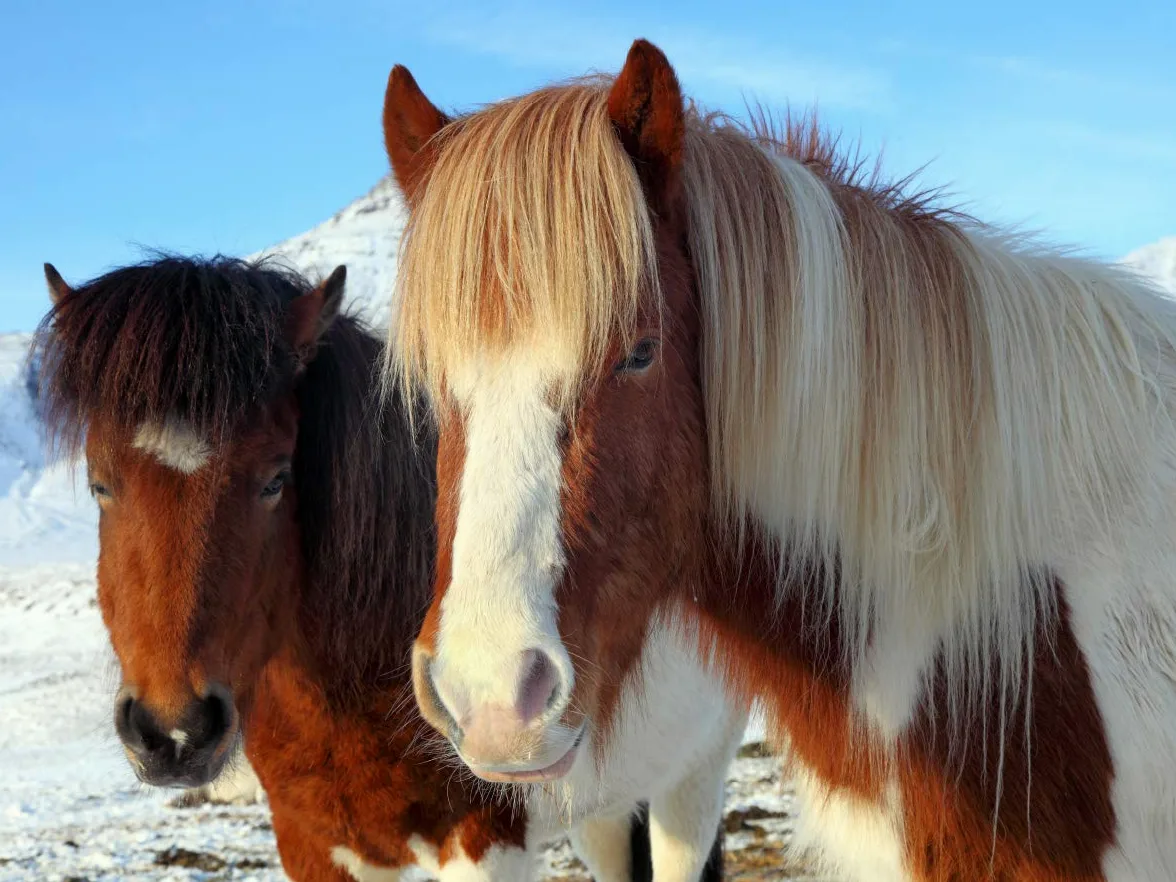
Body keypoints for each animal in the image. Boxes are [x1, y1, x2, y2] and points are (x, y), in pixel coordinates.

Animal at [34, 255, 739, 882]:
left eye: (275, 480)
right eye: (100, 484)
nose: (175, 734)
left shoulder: (484, 845)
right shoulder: (314, 848)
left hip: (693, 781)